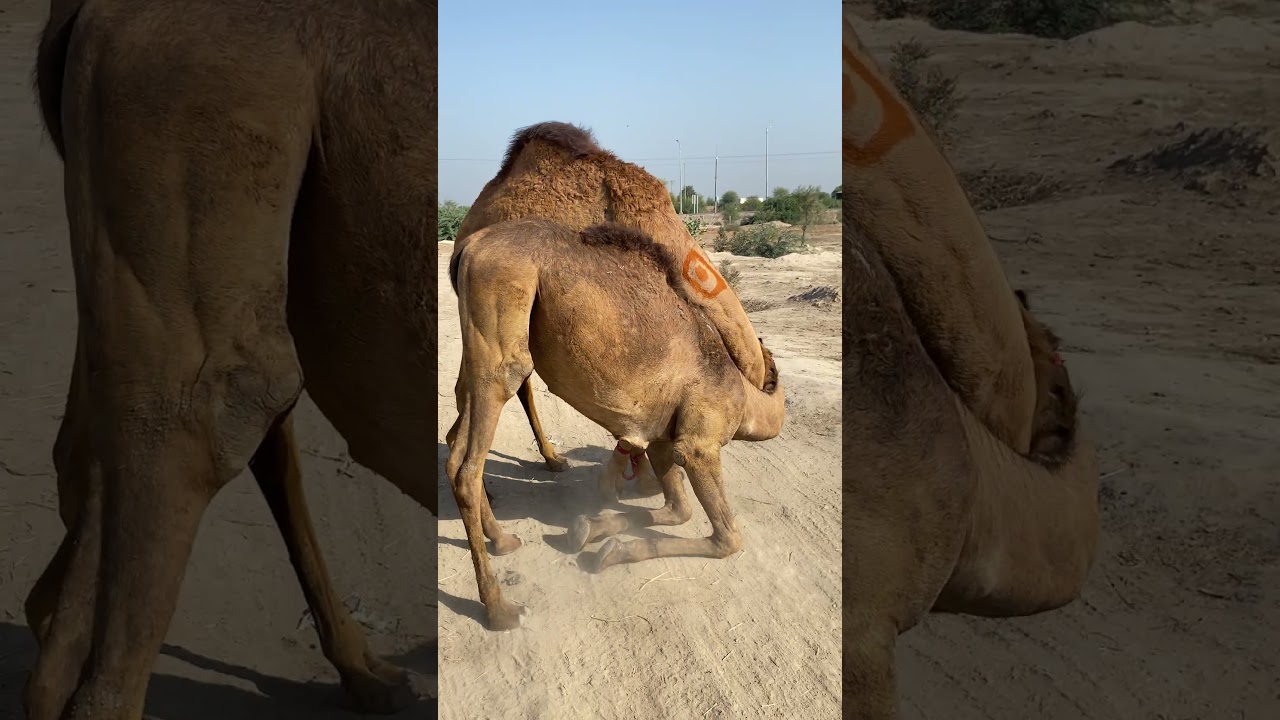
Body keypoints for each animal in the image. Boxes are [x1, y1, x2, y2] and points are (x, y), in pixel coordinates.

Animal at [446, 218, 785, 630]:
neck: (744, 396)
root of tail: (469, 246)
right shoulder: (699, 444)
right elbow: (727, 539)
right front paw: (613, 549)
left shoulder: (662, 438)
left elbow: (678, 509)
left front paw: (591, 528)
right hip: (502, 309)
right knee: (469, 464)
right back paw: (499, 609)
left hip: (478, 351)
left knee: (455, 448)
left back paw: (503, 540)